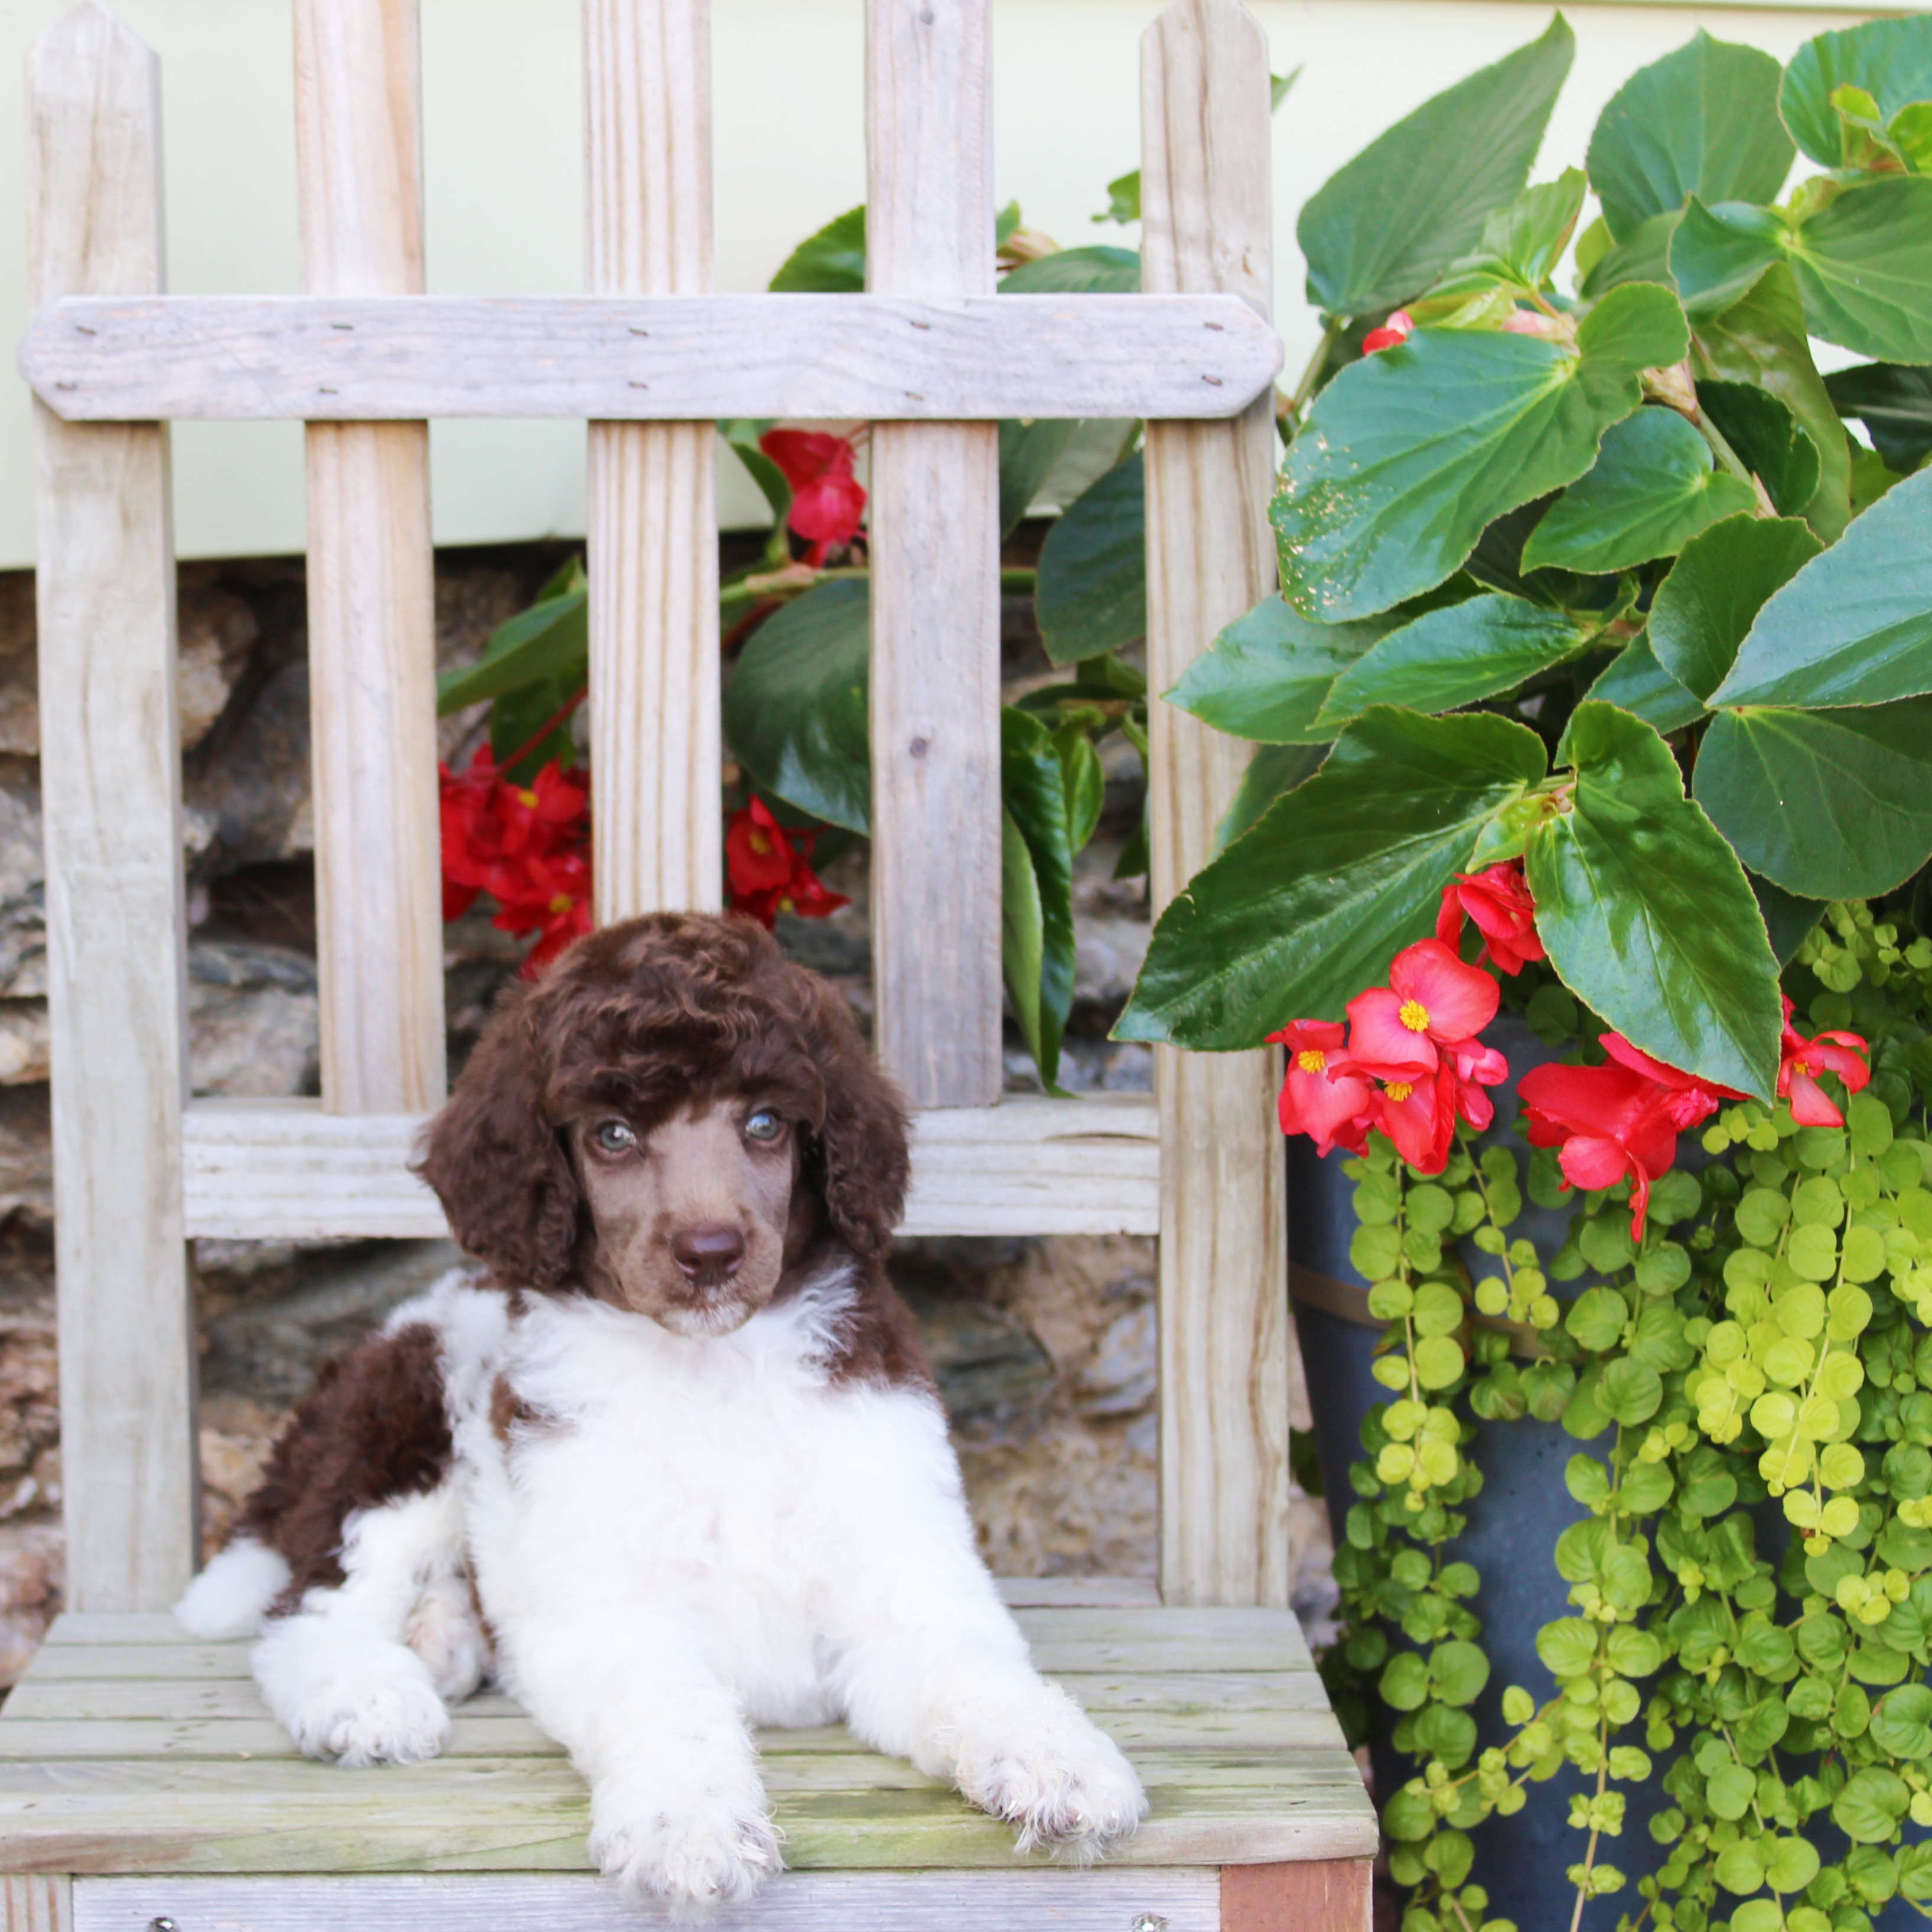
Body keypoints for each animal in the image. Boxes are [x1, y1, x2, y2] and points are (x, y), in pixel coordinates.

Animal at [177, 923, 1143, 1916]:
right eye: (611, 1135)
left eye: (765, 1123)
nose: (709, 1252)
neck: (712, 1368)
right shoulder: (611, 1610)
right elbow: (668, 1709)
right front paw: (690, 1829)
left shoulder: (904, 1575)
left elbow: (976, 1670)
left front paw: (1058, 1758)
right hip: (406, 1427)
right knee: (311, 1603)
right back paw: (367, 1694)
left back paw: (445, 1637)